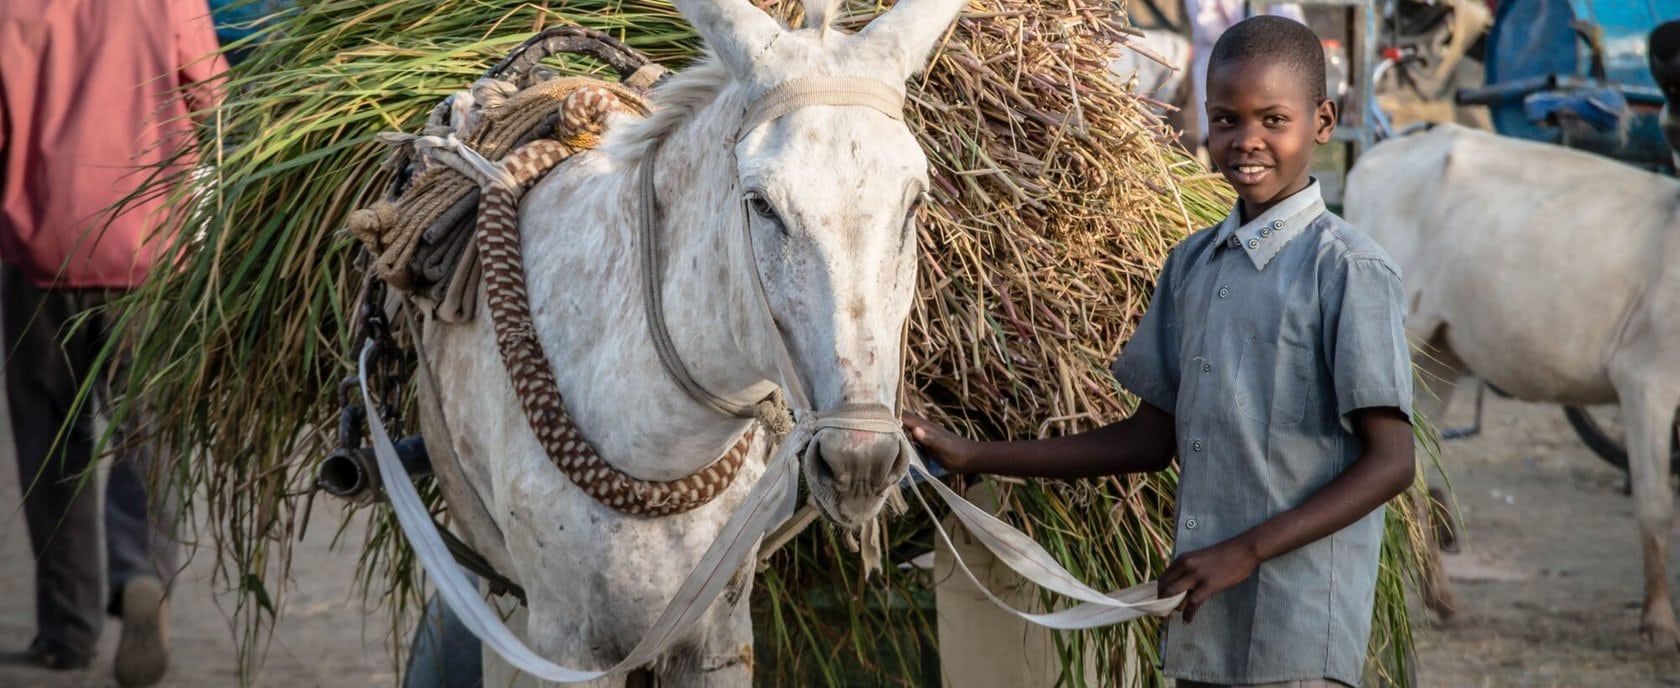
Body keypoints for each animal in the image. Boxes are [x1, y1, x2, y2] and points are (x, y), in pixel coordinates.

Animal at [1344, 123, 1680, 651]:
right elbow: (1655, 504)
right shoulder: (1647, 379)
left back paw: (1442, 598)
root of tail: (1376, 155)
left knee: (1413, 471)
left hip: (1442, 353)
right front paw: (1659, 622)